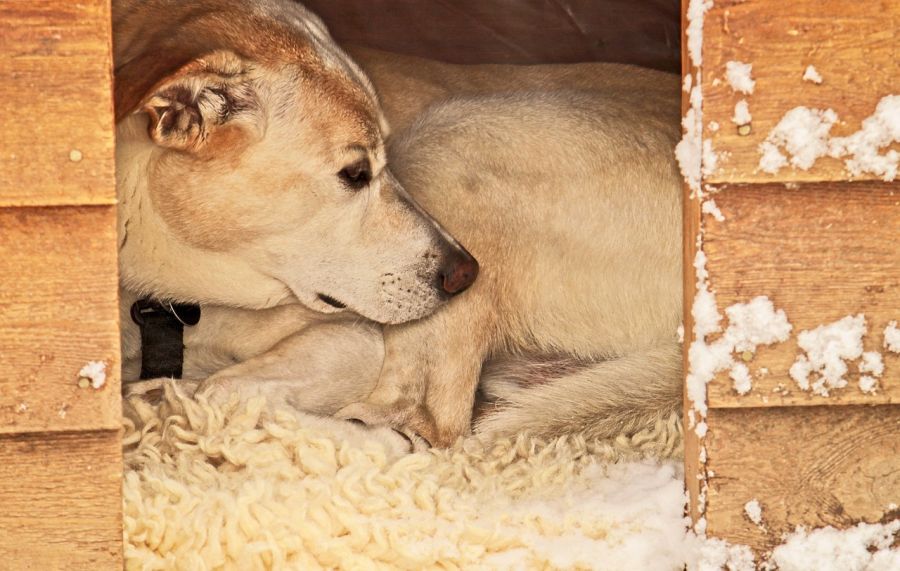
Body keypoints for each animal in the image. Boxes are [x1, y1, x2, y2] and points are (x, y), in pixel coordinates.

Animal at [118, 0, 684, 450]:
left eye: (377, 164)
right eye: (355, 174)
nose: (465, 275)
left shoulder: (355, 340)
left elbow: (216, 391)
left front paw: (158, 404)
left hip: (450, 138)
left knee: (420, 432)